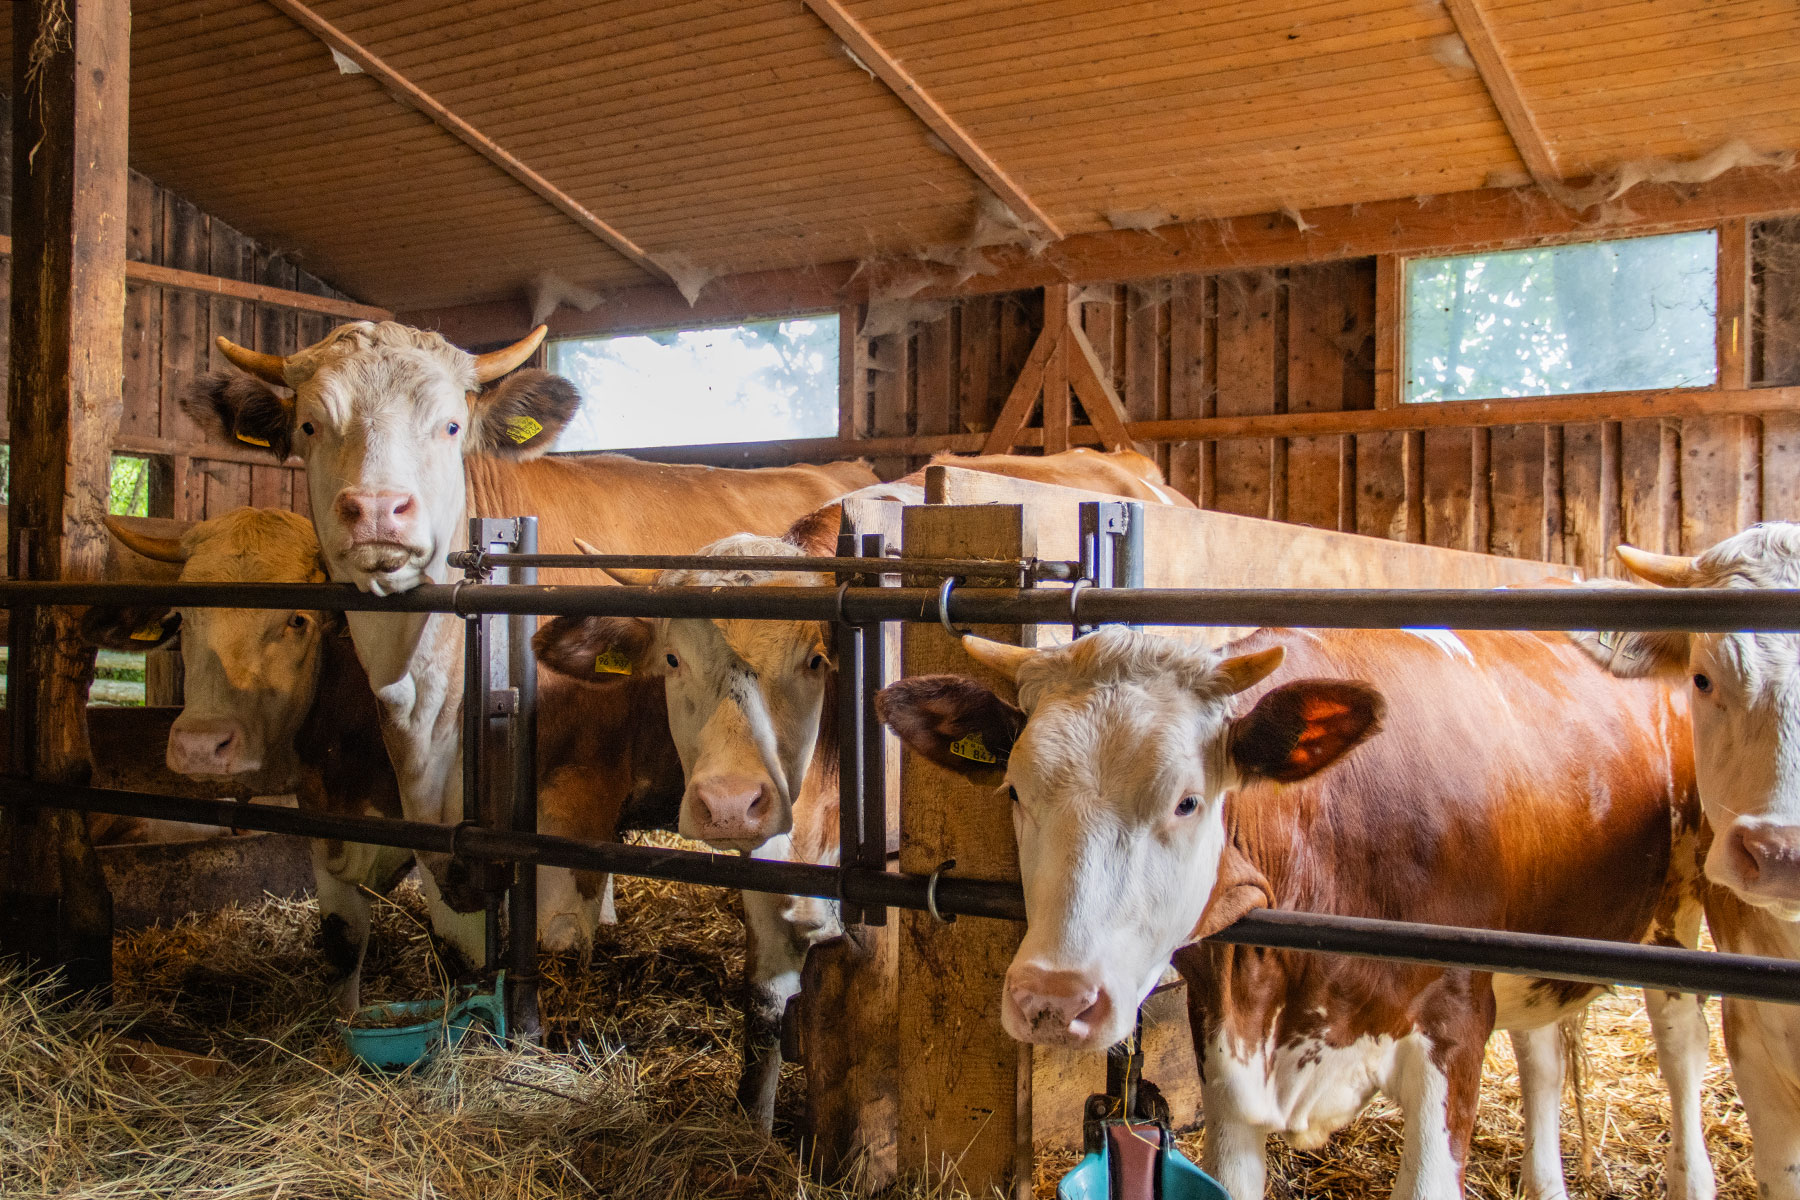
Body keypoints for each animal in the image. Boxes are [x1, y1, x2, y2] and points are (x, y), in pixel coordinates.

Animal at [876, 624, 1714, 1200]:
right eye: (1016, 791)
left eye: (1187, 800)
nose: (1052, 1000)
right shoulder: (1228, 1041)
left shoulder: (1453, 1028)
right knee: (1542, 1051)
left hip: (1677, 916)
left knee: (1680, 1040)